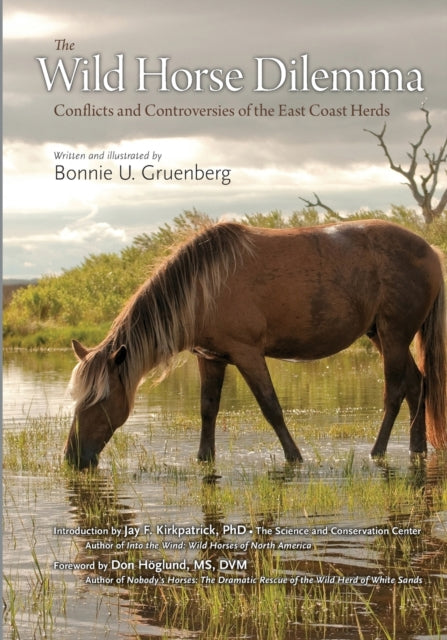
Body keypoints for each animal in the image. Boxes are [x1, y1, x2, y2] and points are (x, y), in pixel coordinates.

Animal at [65, 219, 447, 469]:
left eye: (101, 400)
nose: (72, 457)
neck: (204, 286)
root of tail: (429, 250)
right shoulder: (211, 358)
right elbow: (208, 409)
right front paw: (204, 458)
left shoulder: (247, 354)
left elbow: (270, 407)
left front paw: (294, 457)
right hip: (382, 335)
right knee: (417, 385)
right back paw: (416, 448)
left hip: (394, 335)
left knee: (395, 391)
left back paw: (377, 451)